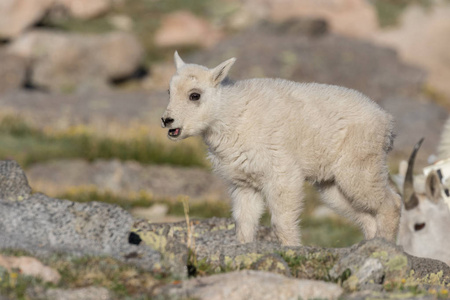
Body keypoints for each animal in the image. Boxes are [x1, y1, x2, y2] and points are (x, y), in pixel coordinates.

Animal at [162, 52, 400, 246]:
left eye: (195, 95)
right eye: (169, 92)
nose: (167, 121)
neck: (232, 114)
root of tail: (387, 123)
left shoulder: (281, 171)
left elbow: (281, 220)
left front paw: (291, 248)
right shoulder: (244, 182)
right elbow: (244, 221)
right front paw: (245, 249)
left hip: (359, 164)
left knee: (390, 202)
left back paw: (385, 244)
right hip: (332, 184)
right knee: (365, 215)